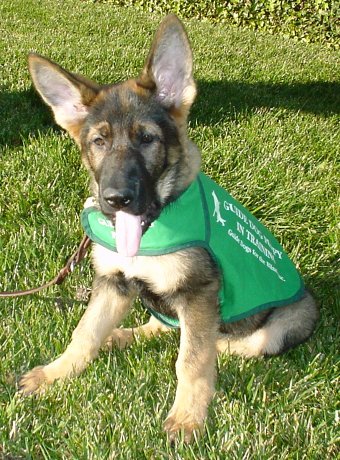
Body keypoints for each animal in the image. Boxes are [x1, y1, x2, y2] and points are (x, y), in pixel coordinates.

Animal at [20, 13, 318, 438]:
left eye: (147, 139)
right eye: (98, 142)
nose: (115, 199)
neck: (148, 231)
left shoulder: (198, 293)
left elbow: (192, 360)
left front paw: (189, 415)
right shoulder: (113, 282)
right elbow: (86, 333)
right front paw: (55, 373)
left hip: (289, 319)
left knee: (225, 343)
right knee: (163, 324)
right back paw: (123, 336)